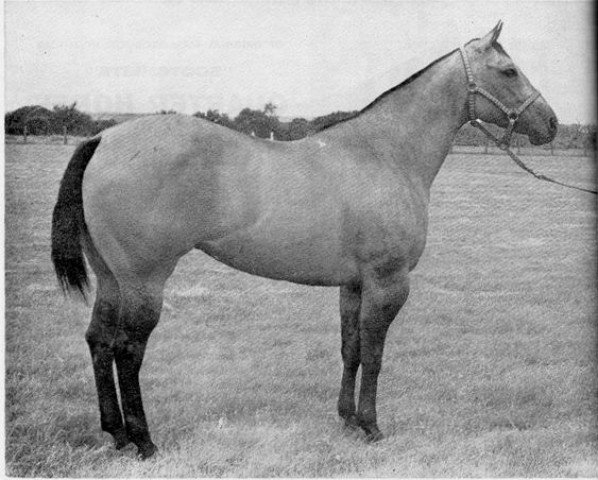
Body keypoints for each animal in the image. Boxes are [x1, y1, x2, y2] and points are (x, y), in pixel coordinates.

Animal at [50, 23, 556, 462]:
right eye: (508, 71)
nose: (550, 123)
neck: (385, 154)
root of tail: (103, 137)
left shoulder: (354, 285)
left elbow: (351, 349)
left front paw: (347, 419)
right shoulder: (388, 283)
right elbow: (375, 354)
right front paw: (372, 426)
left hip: (111, 278)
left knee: (98, 340)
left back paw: (116, 434)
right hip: (144, 281)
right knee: (126, 351)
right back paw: (144, 442)